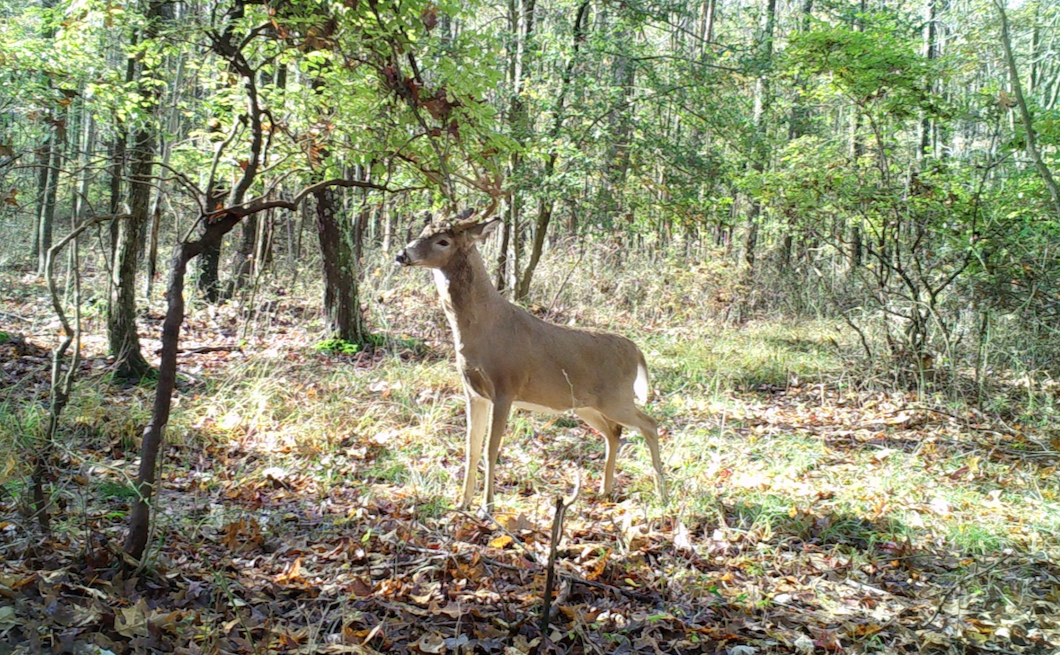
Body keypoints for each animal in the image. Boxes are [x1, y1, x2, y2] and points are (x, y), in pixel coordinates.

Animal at [394, 208, 665, 510]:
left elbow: (490, 449)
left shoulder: (505, 387)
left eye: (443, 241)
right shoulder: (473, 391)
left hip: (616, 398)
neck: (482, 329)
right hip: (586, 404)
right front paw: (463, 504)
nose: (402, 254)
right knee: (614, 431)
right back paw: (605, 491)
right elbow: (471, 447)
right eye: (423, 231)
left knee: (650, 424)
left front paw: (487, 506)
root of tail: (636, 350)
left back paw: (662, 493)